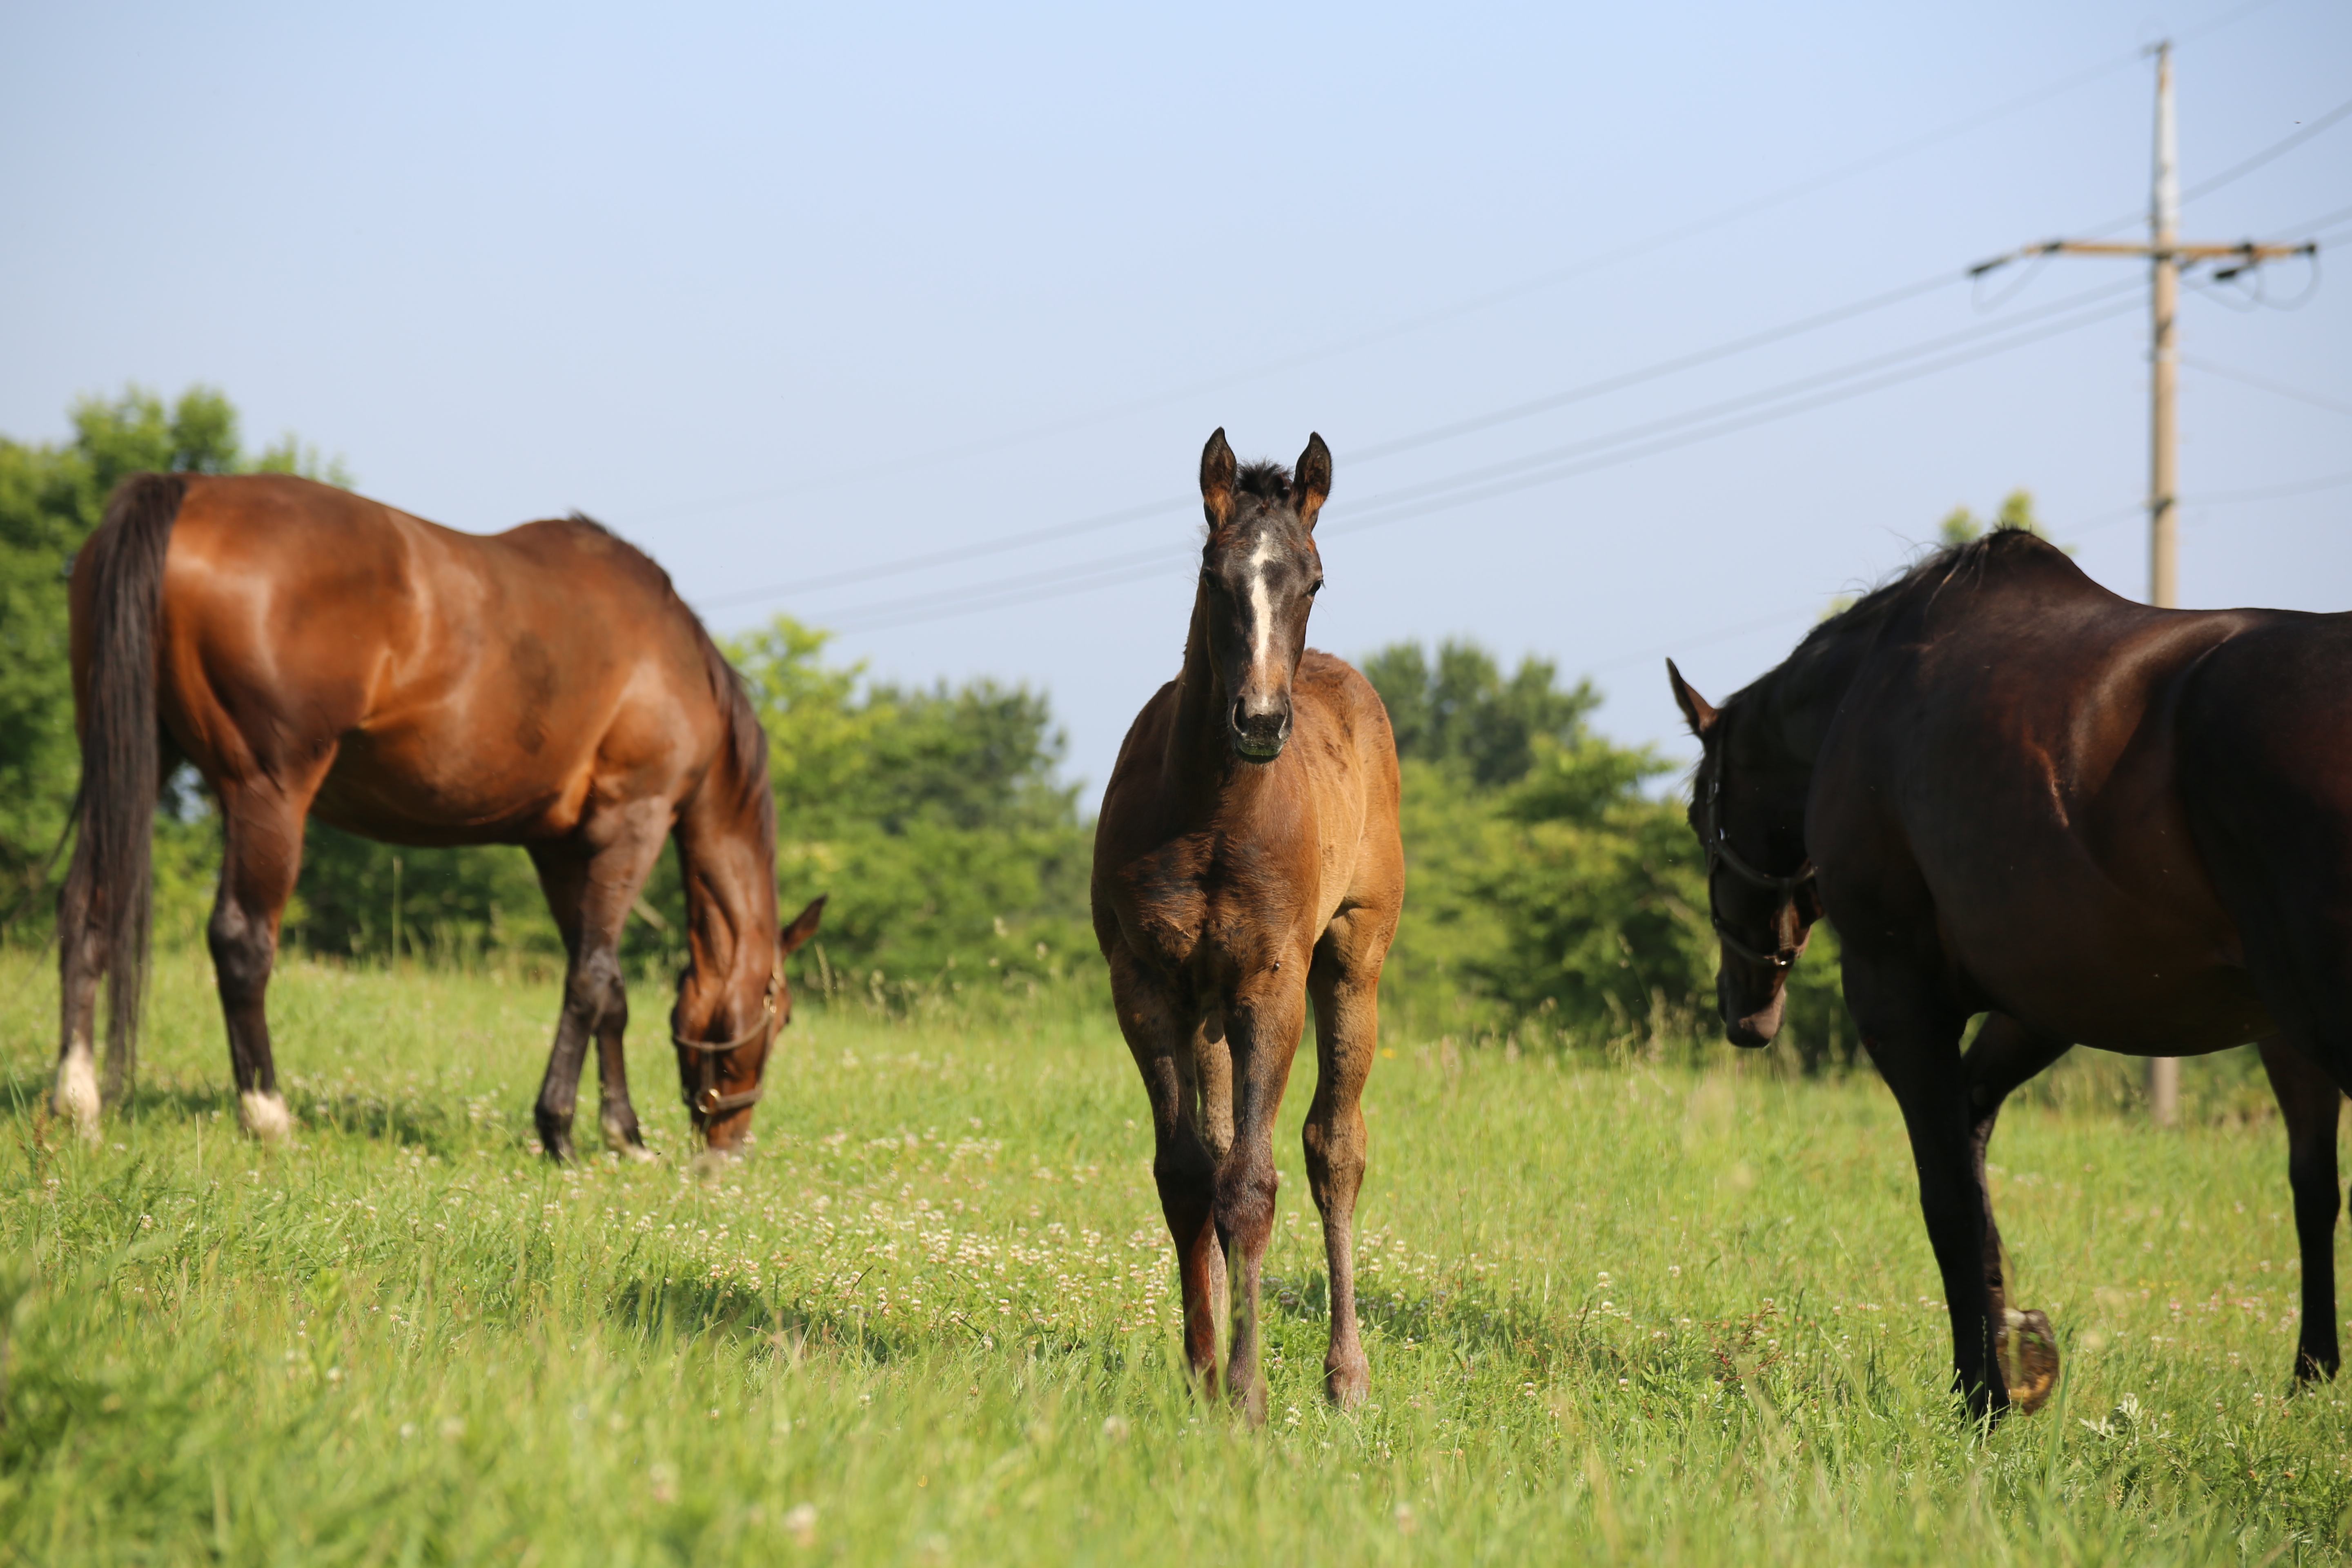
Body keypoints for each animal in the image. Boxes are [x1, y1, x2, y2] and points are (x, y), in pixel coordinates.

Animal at [57, 472, 828, 1161]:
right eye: (784, 1016)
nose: (730, 1146)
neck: (671, 664)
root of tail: (187, 490)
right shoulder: (629, 825)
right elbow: (589, 979)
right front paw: (560, 1133)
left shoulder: (559, 849)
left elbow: (607, 987)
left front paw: (625, 1137)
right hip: (267, 791)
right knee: (242, 942)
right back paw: (268, 1116)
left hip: (131, 754)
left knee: (88, 908)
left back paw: (77, 1103)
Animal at [1091, 430, 1401, 1420]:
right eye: (1212, 573)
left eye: (1313, 580)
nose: (1261, 722)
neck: (1214, 815)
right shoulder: (1147, 986)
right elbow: (1189, 1176)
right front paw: (1200, 1367)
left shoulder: (1271, 989)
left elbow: (1255, 1186)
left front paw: (1247, 1392)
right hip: (1209, 1012)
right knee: (1222, 1145)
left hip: (1352, 964)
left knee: (1333, 1149)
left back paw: (1346, 1375)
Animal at [1665, 531, 2342, 1420]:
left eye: (1697, 814)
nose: (1743, 1013)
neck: (1864, 692)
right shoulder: (2046, 1004)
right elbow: (1975, 1144)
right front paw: (2016, 1343)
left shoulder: (1898, 994)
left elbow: (1949, 1192)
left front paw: (1982, 1391)